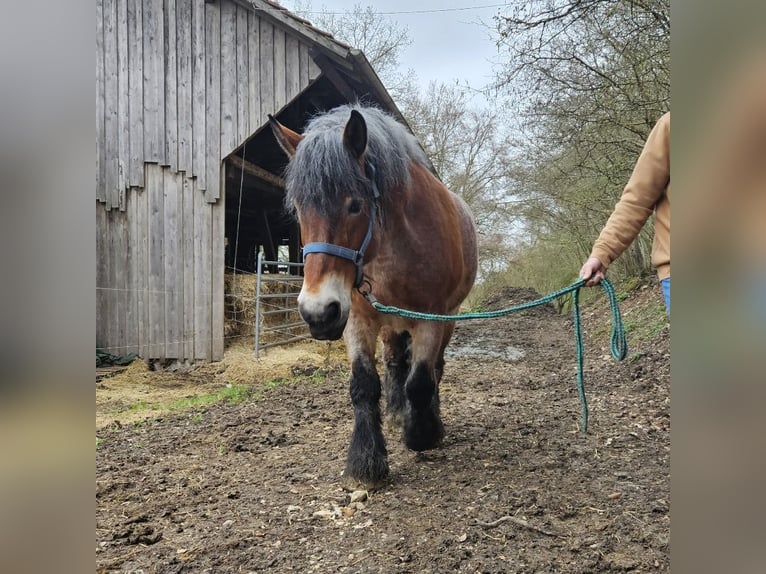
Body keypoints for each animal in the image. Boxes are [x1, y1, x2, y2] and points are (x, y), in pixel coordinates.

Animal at [268, 104, 478, 489]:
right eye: (299, 207)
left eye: (354, 205)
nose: (317, 313)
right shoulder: (357, 317)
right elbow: (364, 385)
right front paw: (366, 461)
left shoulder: (432, 317)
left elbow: (421, 381)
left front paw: (422, 434)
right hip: (390, 323)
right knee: (395, 362)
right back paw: (396, 414)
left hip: (448, 318)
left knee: (434, 369)